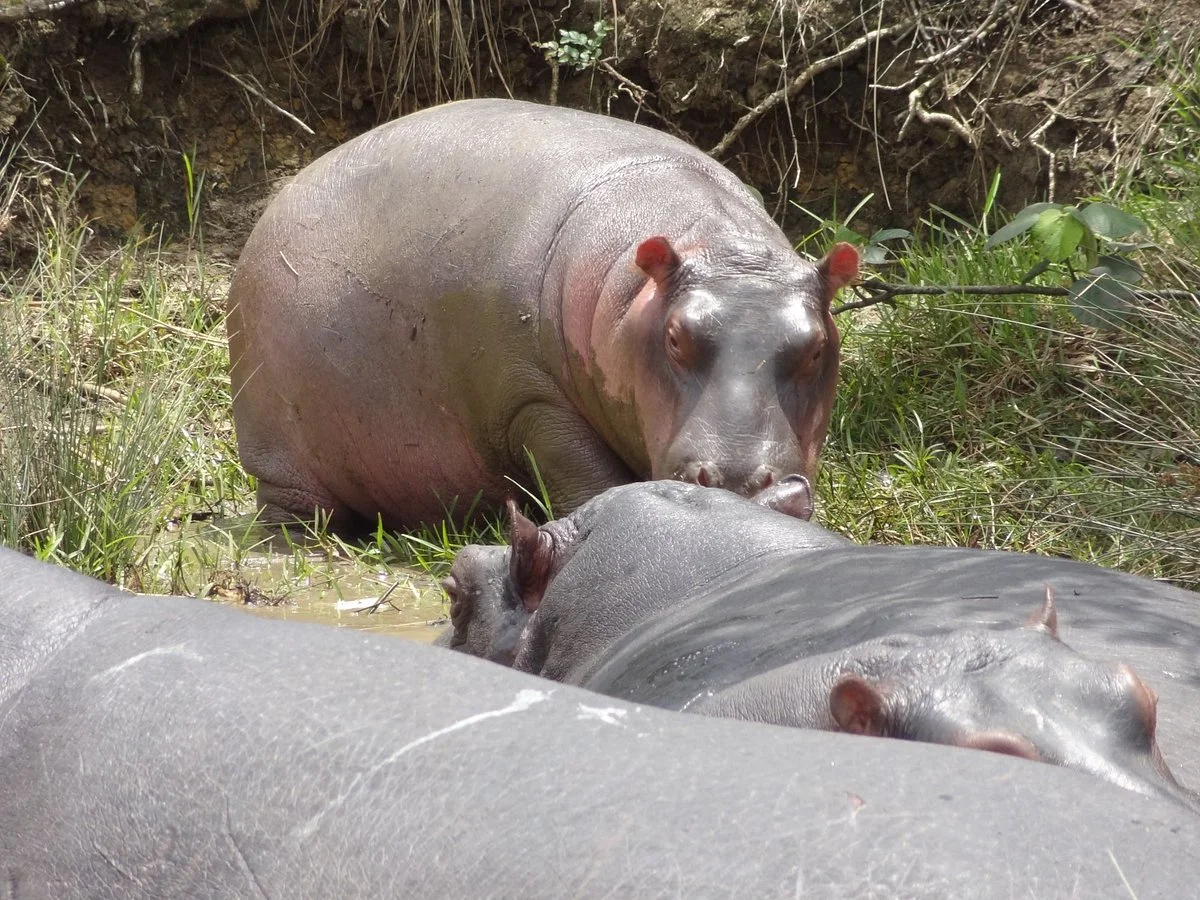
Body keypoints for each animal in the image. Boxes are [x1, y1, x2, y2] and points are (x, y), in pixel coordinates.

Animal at [227, 98, 859, 529]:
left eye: (816, 347)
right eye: (677, 337)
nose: (736, 482)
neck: (714, 245)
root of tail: (276, 201)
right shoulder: (530, 401)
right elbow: (583, 471)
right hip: (279, 453)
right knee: (292, 510)